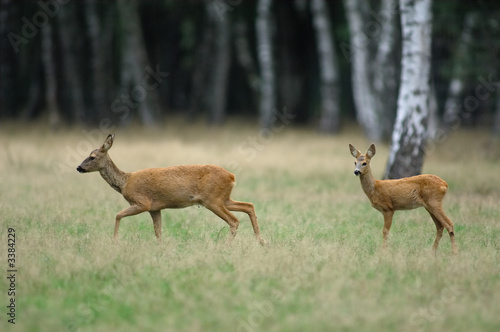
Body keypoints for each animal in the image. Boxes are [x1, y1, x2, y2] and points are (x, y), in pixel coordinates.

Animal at [76, 134, 264, 245]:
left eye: (92, 157)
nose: (79, 167)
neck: (125, 182)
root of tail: (232, 176)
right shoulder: (155, 208)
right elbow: (158, 232)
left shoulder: (143, 202)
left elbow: (118, 215)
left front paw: (114, 241)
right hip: (223, 198)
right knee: (249, 205)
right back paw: (261, 241)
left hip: (213, 200)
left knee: (234, 220)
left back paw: (226, 246)